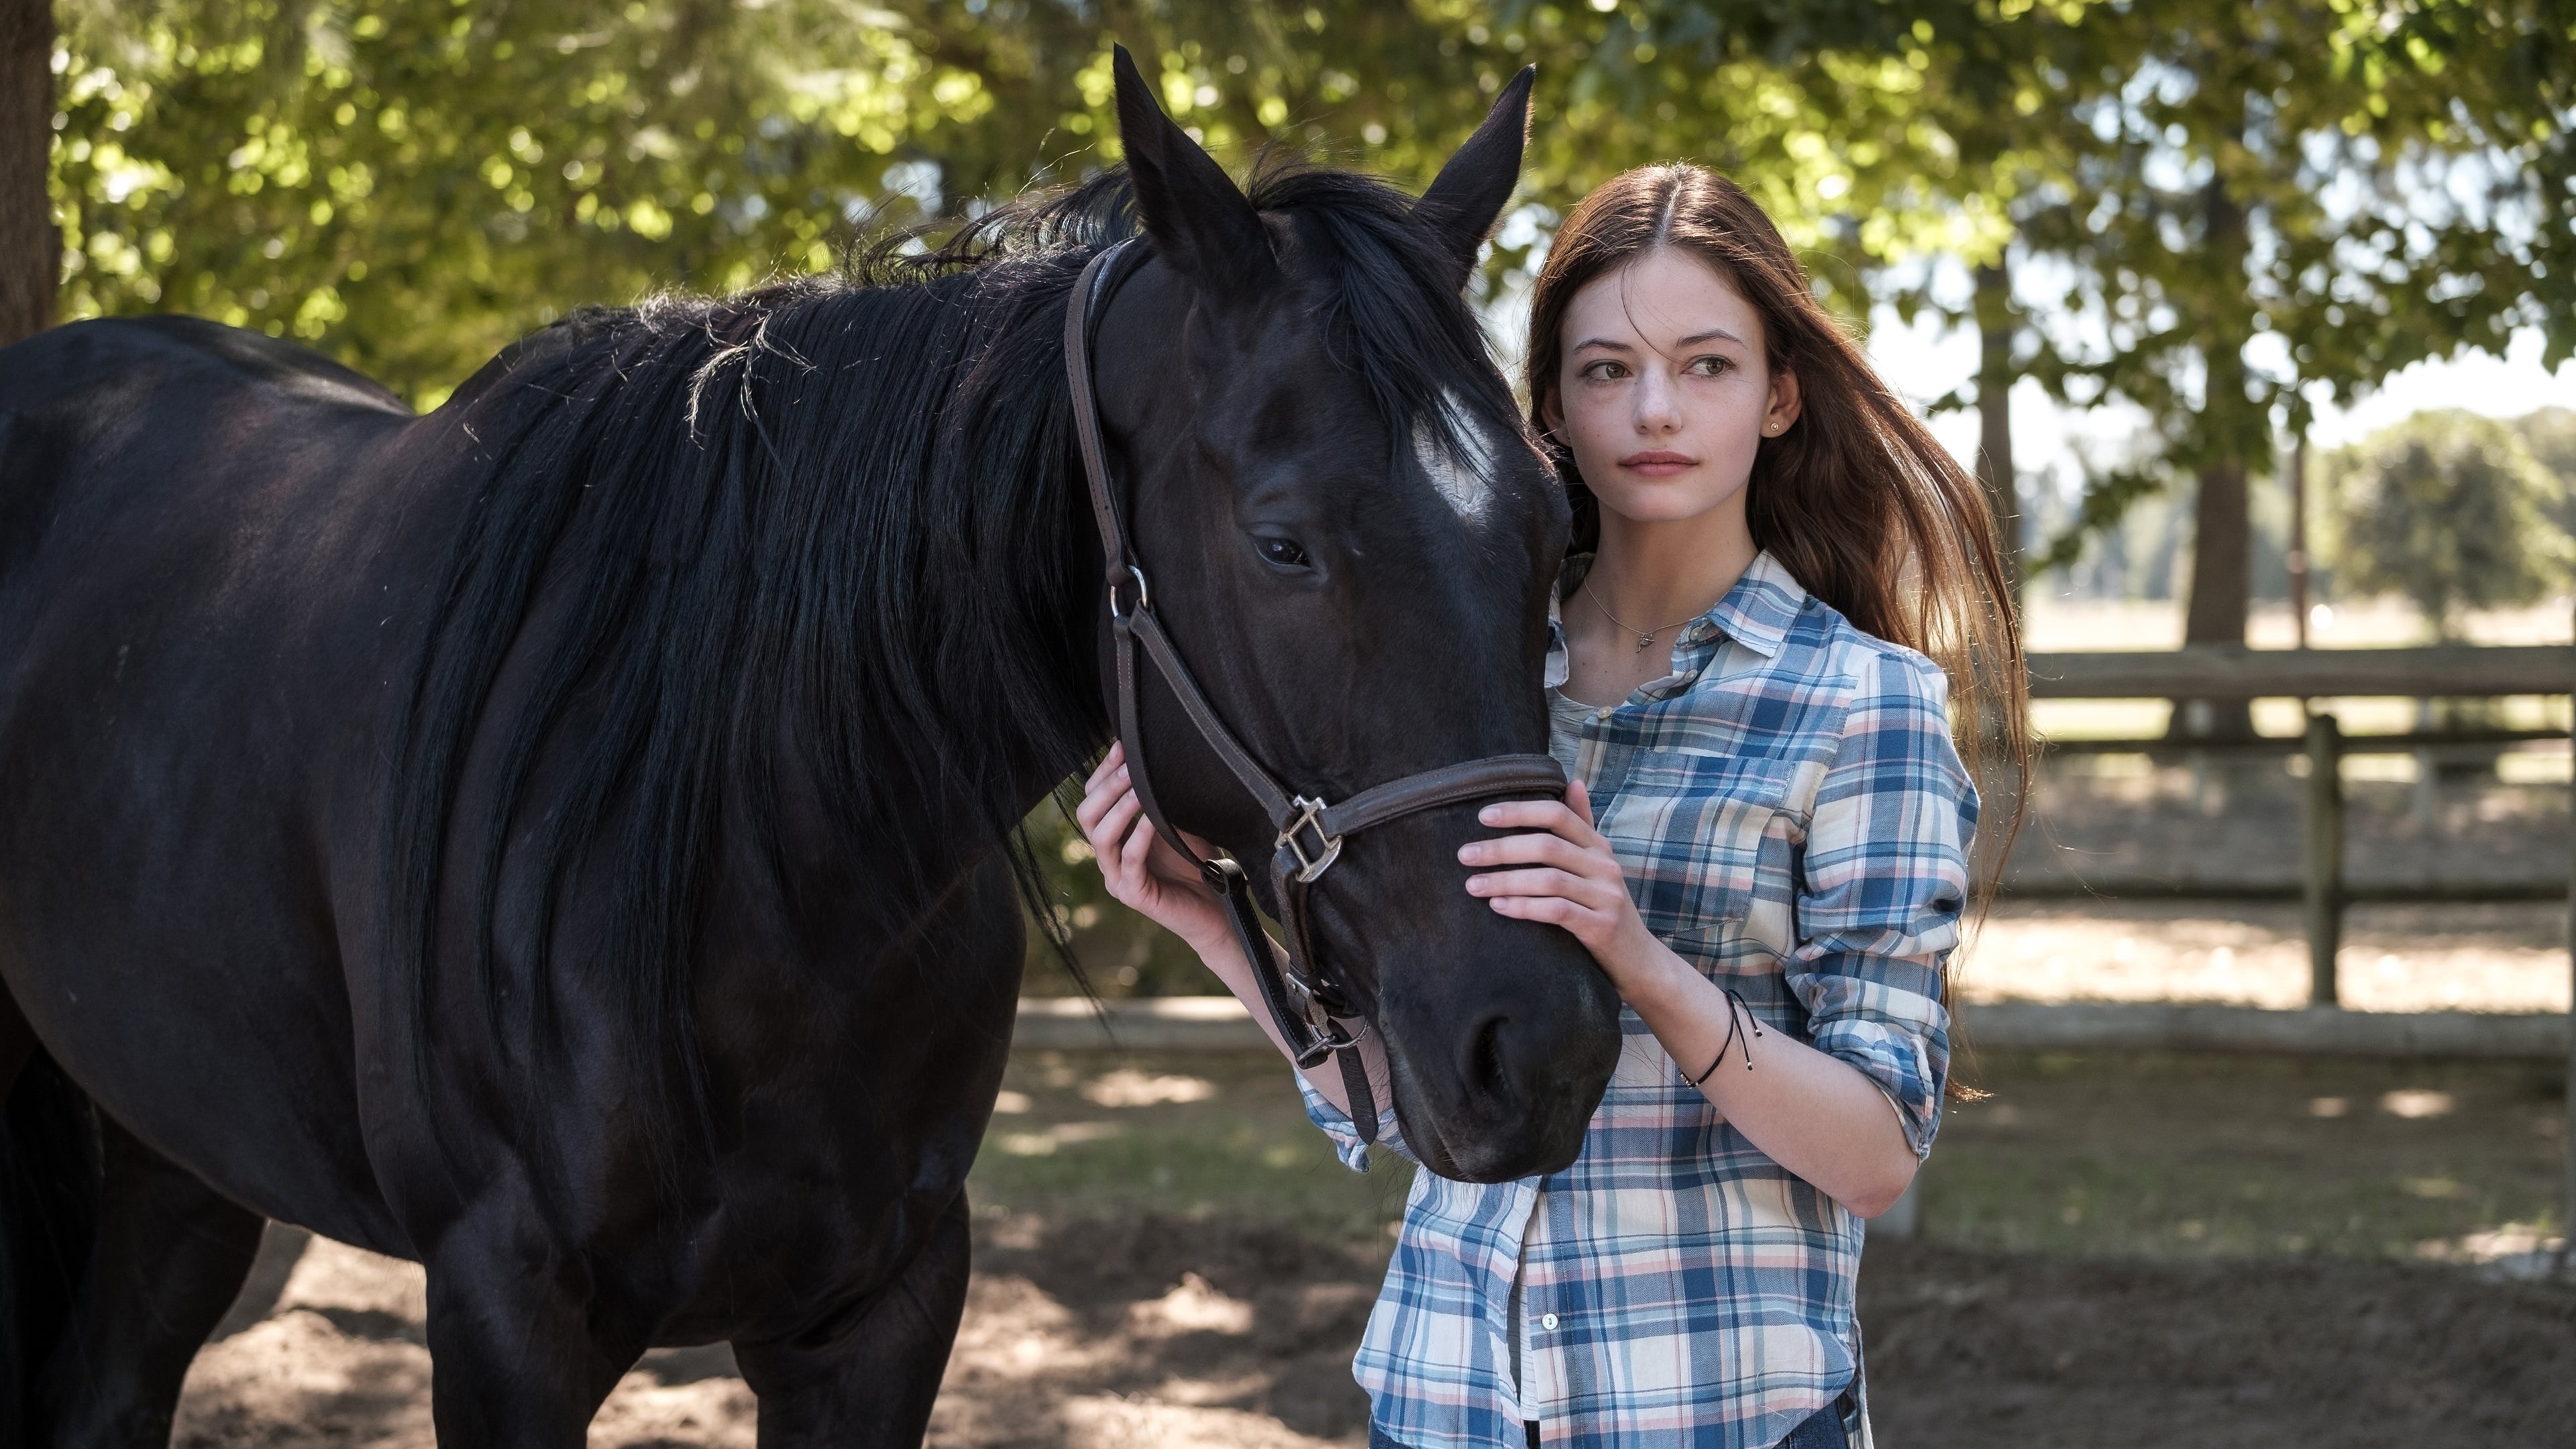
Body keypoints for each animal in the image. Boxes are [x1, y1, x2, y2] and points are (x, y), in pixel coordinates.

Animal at [0, 50, 1617, 1433]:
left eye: (1558, 531)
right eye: (1284, 544)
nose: (1541, 1049)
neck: (749, 857)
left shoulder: (881, 1310)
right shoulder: (505, 1319)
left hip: (181, 1151)